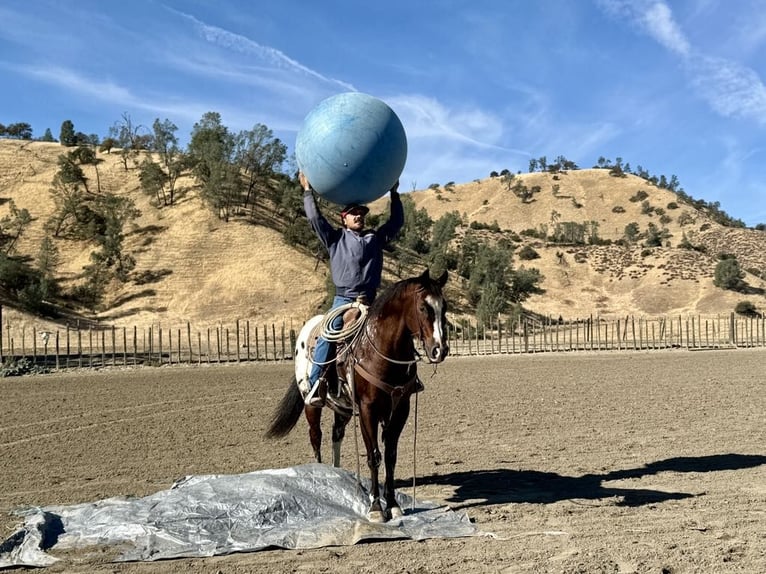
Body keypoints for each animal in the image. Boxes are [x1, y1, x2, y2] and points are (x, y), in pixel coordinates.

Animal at [268, 268, 450, 520]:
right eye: (423, 307)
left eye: (445, 307)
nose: (439, 350)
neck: (381, 351)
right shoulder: (367, 409)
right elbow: (374, 455)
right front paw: (375, 508)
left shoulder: (400, 409)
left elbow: (390, 455)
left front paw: (393, 504)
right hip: (311, 404)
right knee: (316, 437)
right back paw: (320, 475)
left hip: (343, 408)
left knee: (336, 434)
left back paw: (337, 475)